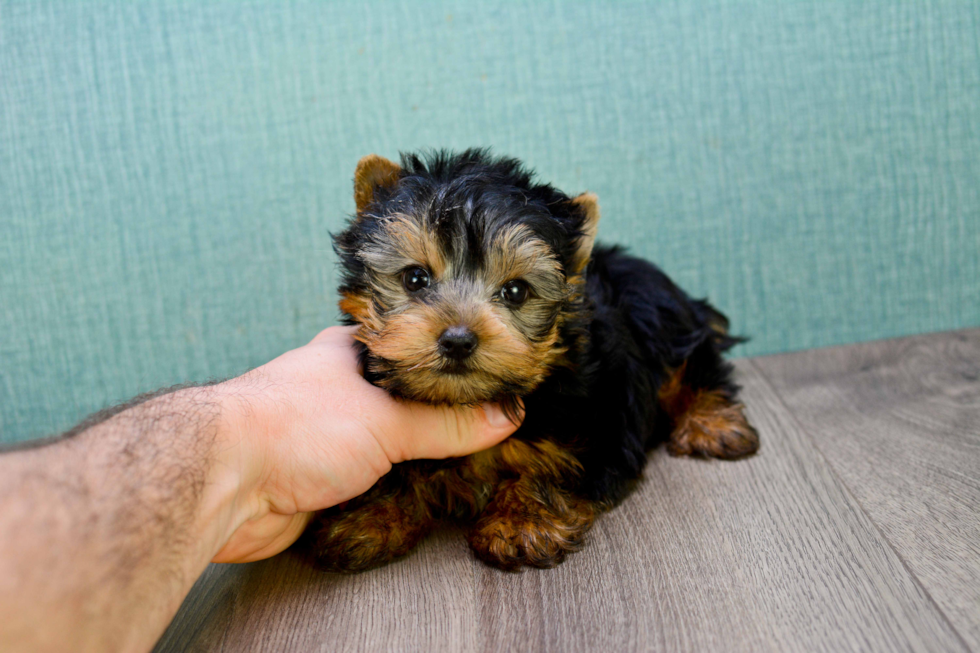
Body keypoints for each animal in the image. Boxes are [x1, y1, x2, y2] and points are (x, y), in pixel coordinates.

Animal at [306, 149, 756, 572]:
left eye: (516, 291)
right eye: (415, 278)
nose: (457, 340)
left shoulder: (602, 421)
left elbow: (554, 463)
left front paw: (521, 522)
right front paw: (369, 516)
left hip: (664, 322)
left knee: (695, 366)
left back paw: (714, 424)